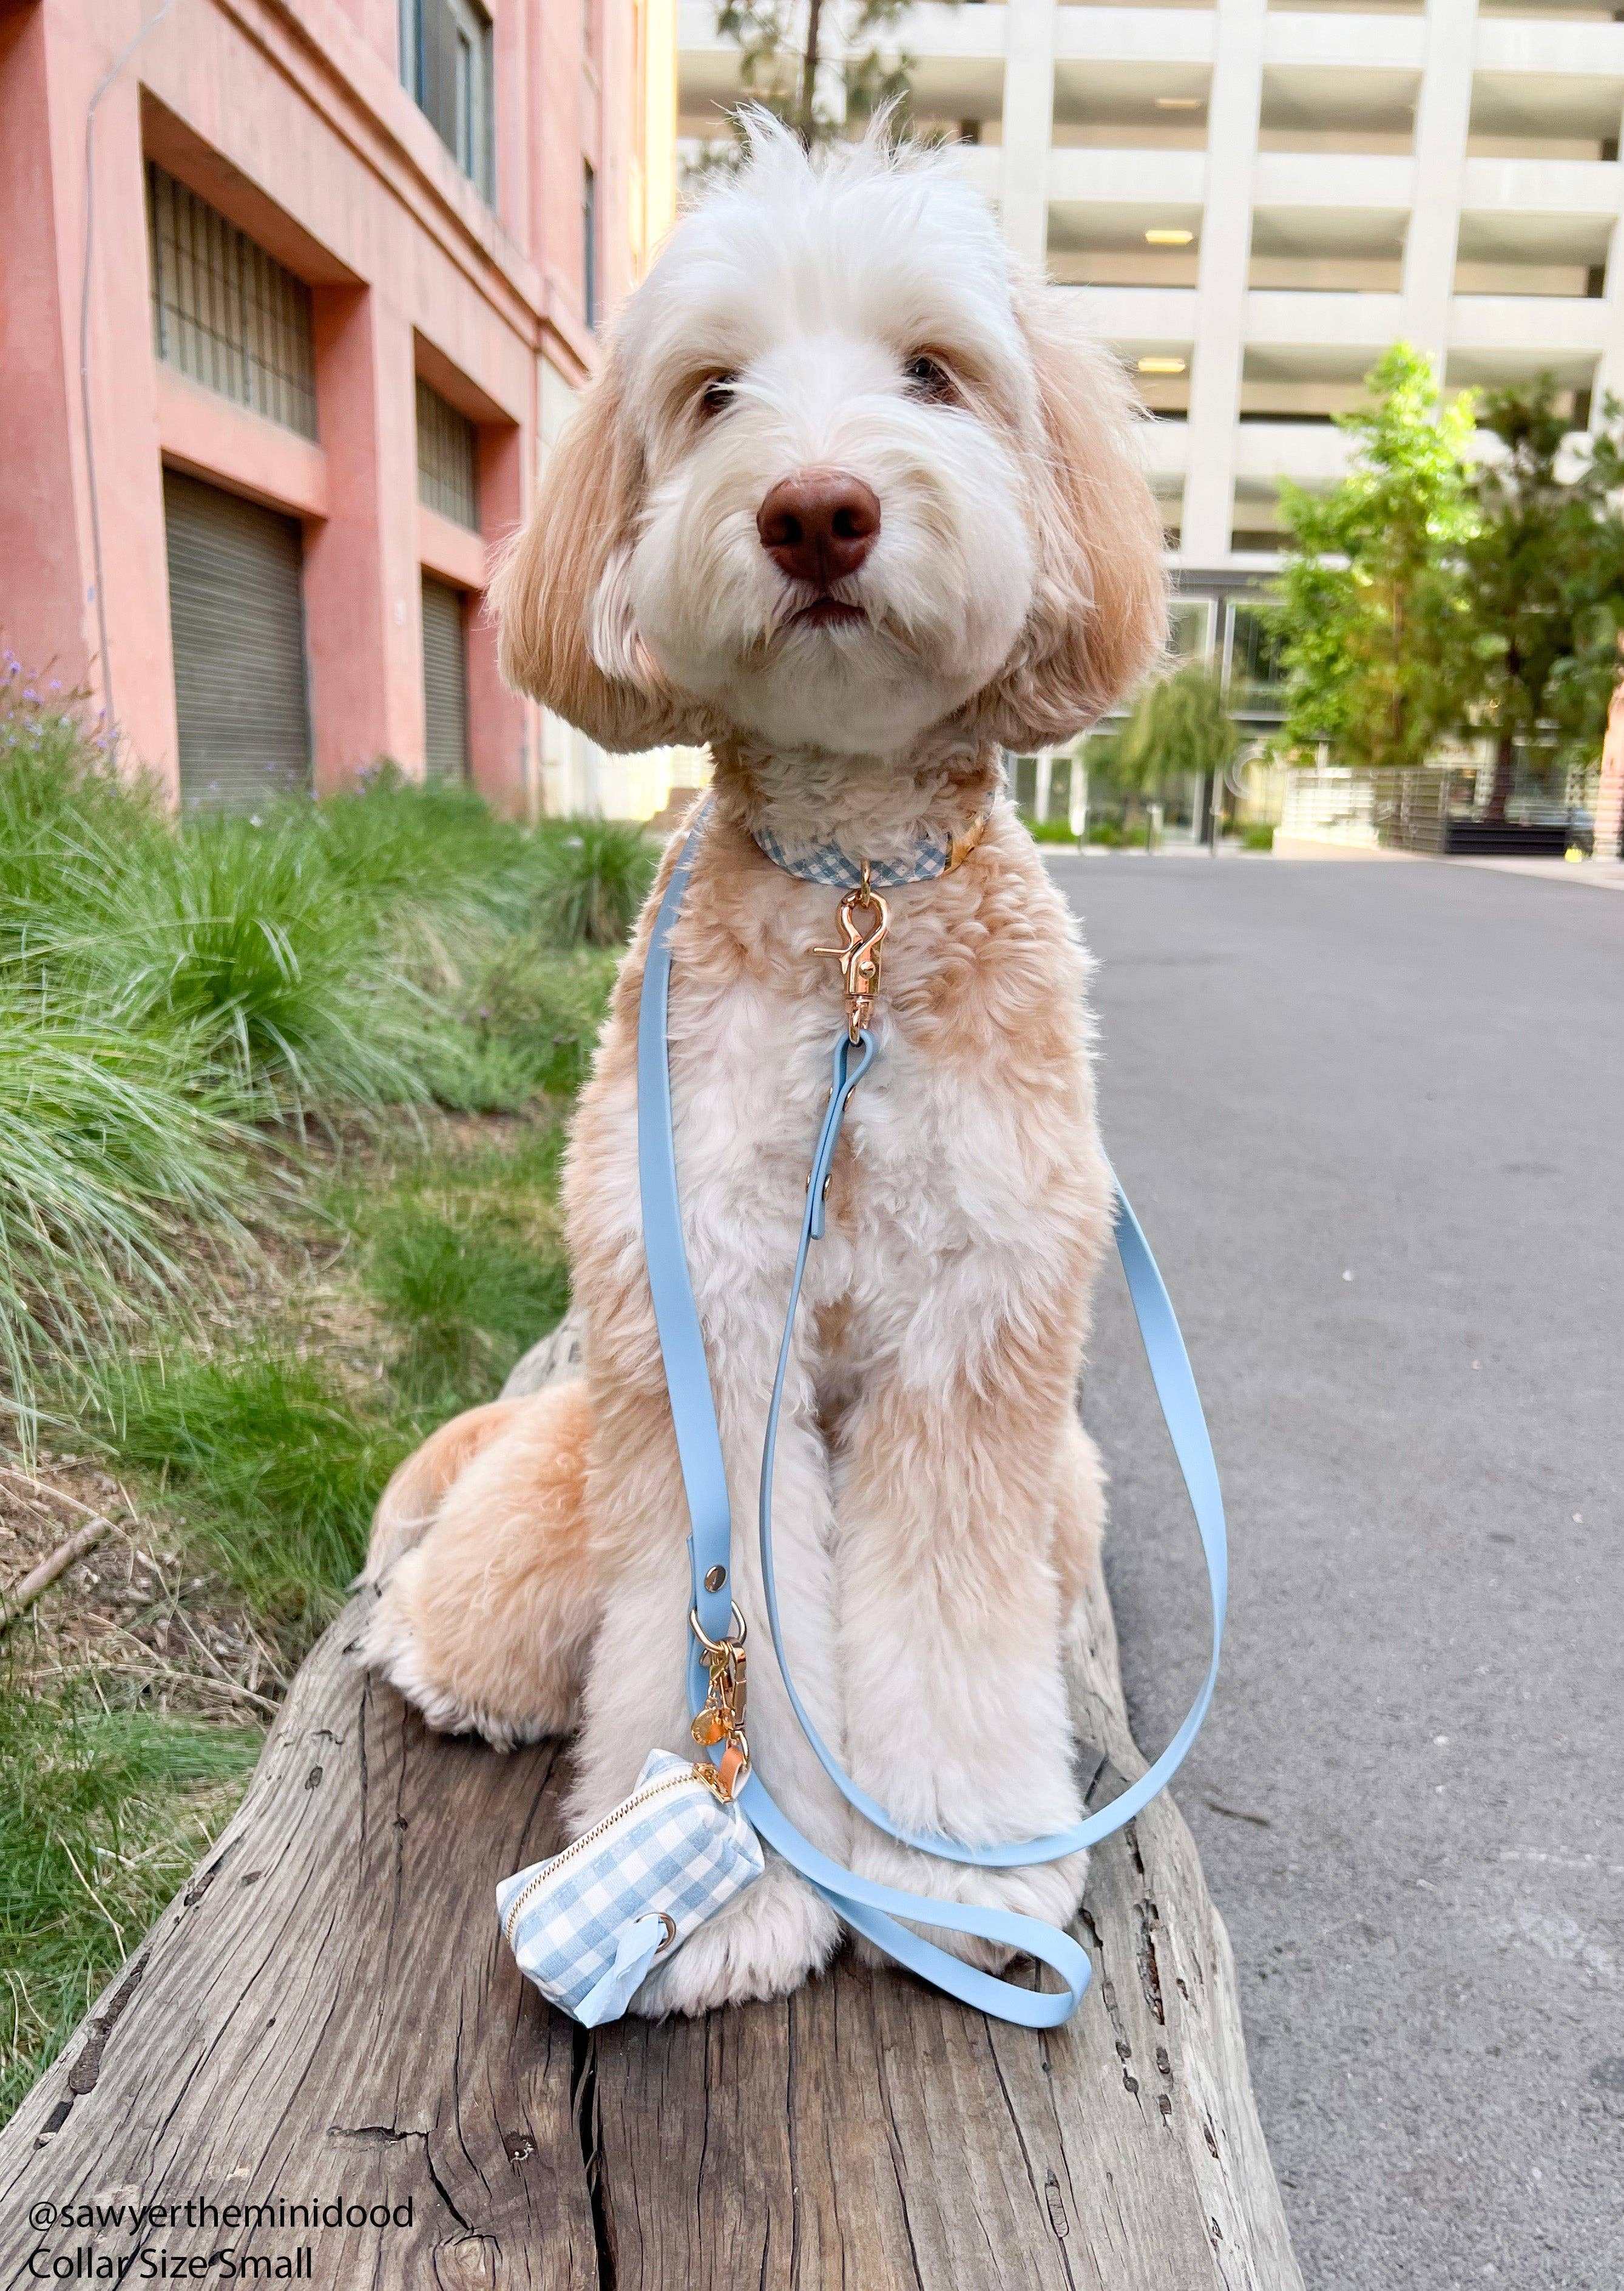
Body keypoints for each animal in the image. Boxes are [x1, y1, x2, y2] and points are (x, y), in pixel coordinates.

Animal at [362, 121, 1163, 2007]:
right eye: (712, 391)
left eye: (933, 370)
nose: (814, 508)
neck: (853, 899)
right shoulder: (709, 1317)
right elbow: (709, 1641)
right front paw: (740, 1887)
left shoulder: (978, 1334)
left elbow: (947, 1624)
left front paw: (951, 1868)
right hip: (572, 1451)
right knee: (496, 1591)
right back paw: (444, 1655)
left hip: (1063, 1480)